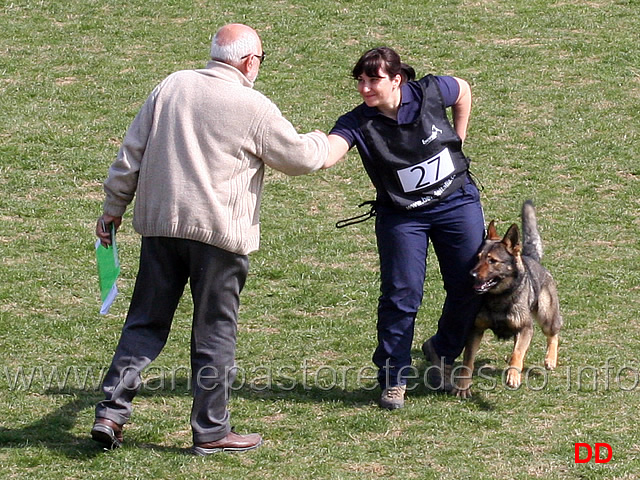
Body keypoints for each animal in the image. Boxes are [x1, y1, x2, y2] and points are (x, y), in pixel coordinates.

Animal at [452, 200, 564, 398]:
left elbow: (516, 354)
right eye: (478, 258)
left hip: (546, 315)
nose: (471, 275)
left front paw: (513, 376)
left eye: (492, 261)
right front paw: (463, 385)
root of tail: (530, 256)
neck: (499, 297)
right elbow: (468, 360)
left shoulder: (525, 328)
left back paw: (550, 359)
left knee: (554, 333)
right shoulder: (475, 329)